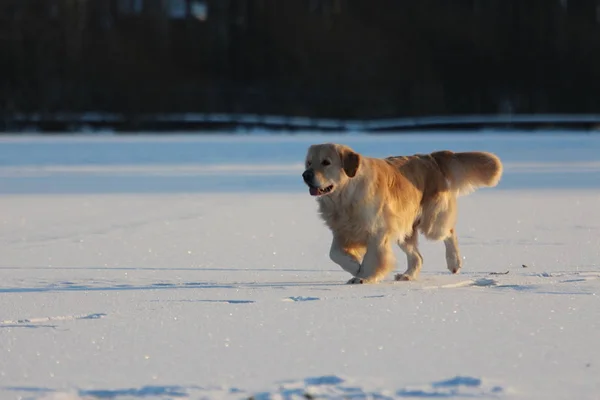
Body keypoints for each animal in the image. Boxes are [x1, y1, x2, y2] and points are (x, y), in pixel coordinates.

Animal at [302, 144, 504, 284]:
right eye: (309, 162)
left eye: (326, 162)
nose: (305, 175)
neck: (346, 196)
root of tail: (429, 157)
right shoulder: (342, 231)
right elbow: (334, 254)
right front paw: (355, 267)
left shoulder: (378, 231)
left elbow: (372, 258)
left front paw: (364, 276)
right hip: (404, 230)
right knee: (418, 257)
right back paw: (408, 275)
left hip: (432, 222)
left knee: (449, 232)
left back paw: (454, 262)